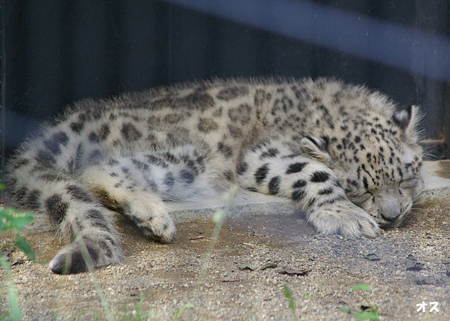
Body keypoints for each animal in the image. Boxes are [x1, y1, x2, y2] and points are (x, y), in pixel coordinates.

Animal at [6, 77, 422, 272]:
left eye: (406, 176)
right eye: (360, 188)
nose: (392, 215)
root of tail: (61, 128)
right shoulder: (260, 155)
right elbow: (313, 171)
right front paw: (346, 216)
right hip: (187, 157)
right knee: (99, 170)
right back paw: (153, 216)